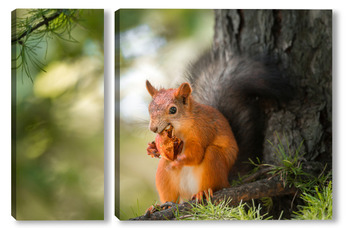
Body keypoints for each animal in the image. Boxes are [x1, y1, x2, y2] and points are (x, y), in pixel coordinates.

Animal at [145, 49, 292, 205]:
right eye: (149, 108)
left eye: (173, 110)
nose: (153, 128)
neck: (180, 129)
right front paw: (152, 148)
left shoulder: (203, 131)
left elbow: (196, 154)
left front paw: (180, 161)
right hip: (165, 174)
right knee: (167, 177)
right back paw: (162, 206)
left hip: (214, 162)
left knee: (213, 174)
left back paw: (203, 192)